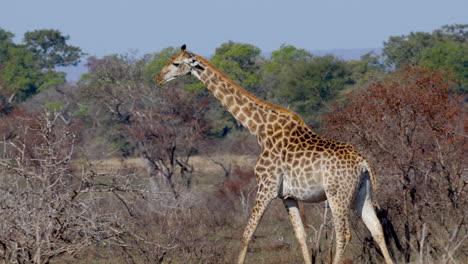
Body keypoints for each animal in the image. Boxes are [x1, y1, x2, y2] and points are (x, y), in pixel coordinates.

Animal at [156, 45, 394, 264]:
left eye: (176, 63)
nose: (158, 78)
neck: (260, 130)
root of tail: (364, 163)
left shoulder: (266, 187)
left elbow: (247, 233)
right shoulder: (287, 196)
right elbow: (301, 236)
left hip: (338, 194)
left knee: (344, 234)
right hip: (362, 193)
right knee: (377, 228)